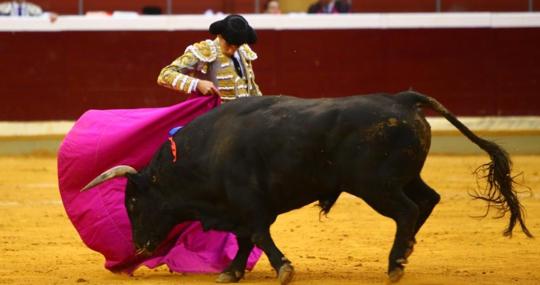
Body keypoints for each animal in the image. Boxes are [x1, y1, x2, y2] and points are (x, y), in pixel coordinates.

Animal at [81, 92, 532, 282]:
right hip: (403, 177)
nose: (139, 247)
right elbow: (245, 240)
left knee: (407, 210)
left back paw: (394, 263)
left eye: (132, 203)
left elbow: (259, 235)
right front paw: (231, 272)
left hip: (377, 186)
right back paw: (403, 254)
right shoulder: (240, 209)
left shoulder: (249, 205)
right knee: (427, 201)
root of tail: (402, 99)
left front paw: (283, 269)